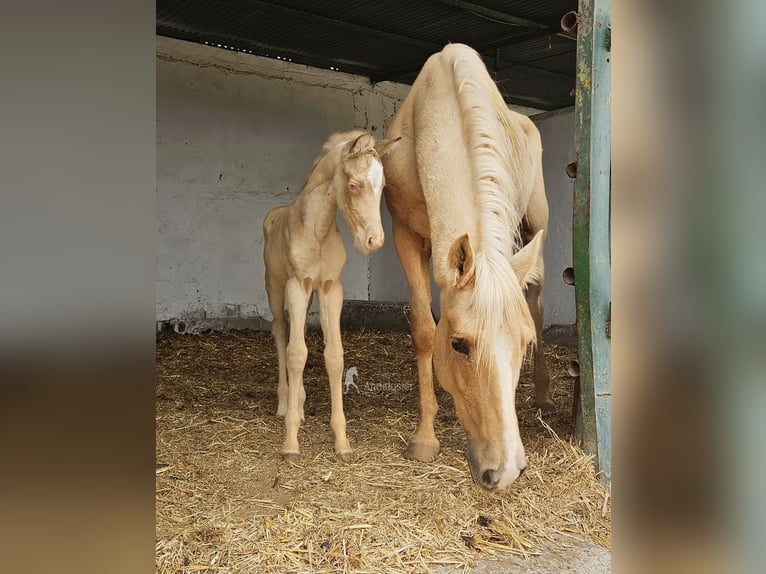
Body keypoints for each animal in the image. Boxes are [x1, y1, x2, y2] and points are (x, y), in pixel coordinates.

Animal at [263, 130, 399, 461]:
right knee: (281, 332)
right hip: (275, 287)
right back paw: (285, 403)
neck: (317, 231)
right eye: (353, 185)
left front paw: (342, 441)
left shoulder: (329, 287)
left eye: (382, 186)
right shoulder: (297, 285)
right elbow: (296, 354)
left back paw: (299, 404)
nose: (374, 241)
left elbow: (334, 356)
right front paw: (290, 444)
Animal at [381, 44, 552, 491]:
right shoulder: (405, 235)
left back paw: (543, 395)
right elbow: (424, 329)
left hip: (535, 226)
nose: (505, 470)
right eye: (459, 344)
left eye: (523, 344)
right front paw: (424, 439)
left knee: (538, 302)